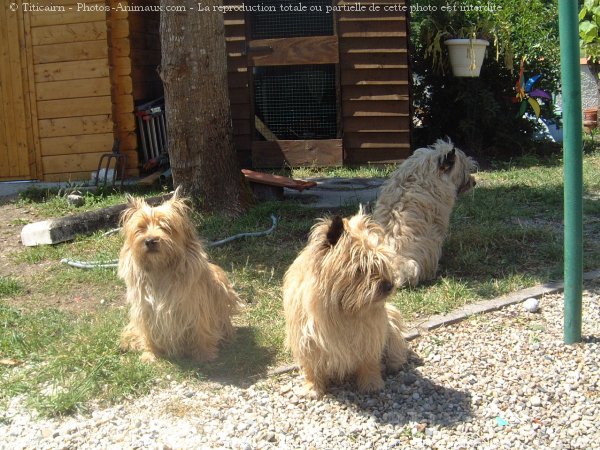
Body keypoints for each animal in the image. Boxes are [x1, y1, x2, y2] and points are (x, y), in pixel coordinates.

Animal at [117, 189, 241, 362]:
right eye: (141, 227)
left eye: (166, 226)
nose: (150, 240)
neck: (161, 268)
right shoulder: (144, 308)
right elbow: (147, 332)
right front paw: (150, 353)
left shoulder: (195, 306)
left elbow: (200, 328)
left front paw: (205, 353)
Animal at [282, 209, 408, 396]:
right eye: (360, 268)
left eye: (382, 262)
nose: (389, 285)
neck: (344, 309)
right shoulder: (306, 337)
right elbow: (312, 364)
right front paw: (313, 387)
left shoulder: (371, 334)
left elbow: (369, 360)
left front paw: (371, 383)